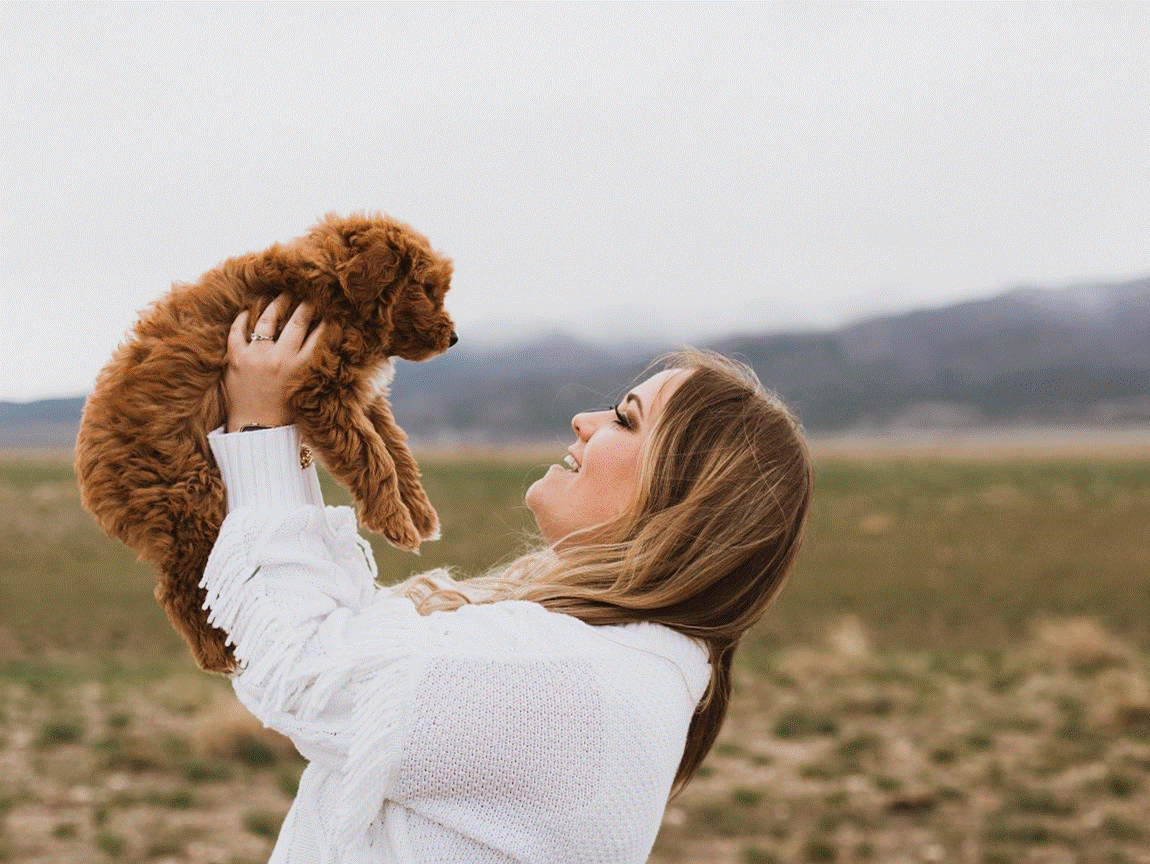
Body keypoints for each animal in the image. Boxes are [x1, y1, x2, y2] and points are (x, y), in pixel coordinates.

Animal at [73, 212, 453, 671]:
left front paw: (419, 514)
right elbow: (371, 455)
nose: (453, 338)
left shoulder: (360, 396)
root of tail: (92, 479)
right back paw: (217, 654)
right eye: (425, 289)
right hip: (191, 497)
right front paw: (395, 520)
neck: (333, 289)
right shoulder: (319, 393)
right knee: (180, 588)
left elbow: (394, 449)